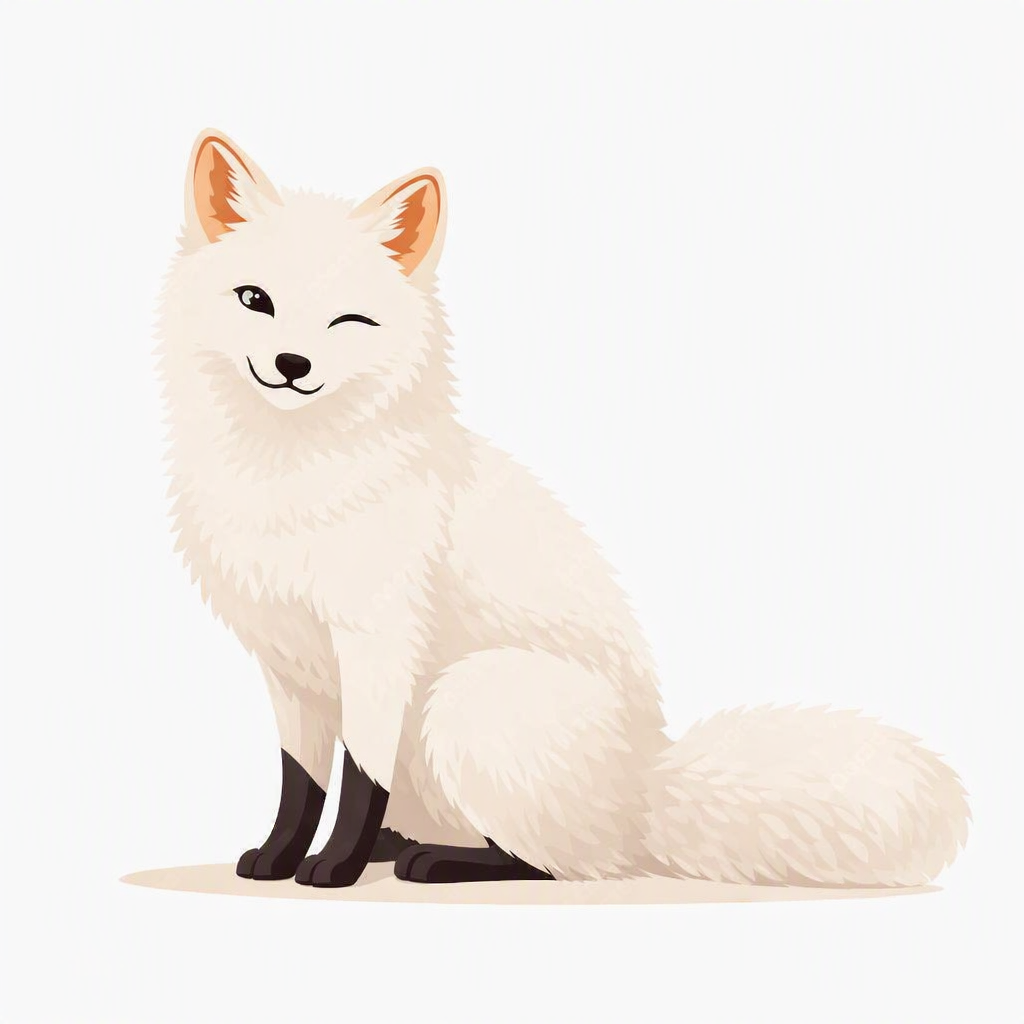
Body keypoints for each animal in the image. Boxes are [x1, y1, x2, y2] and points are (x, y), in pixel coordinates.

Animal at [156, 129, 969, 889]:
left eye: (349, 322)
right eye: (254, 299)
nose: (292, 366)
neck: (288, 481)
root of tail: (646, 784)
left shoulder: (378, 643)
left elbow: (360, 777)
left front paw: (335, 868)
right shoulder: (287, 666)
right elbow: (300, 783)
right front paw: (277, 857)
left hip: (465, 699)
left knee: (560, 864)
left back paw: (438, 861)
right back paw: (405, 845)